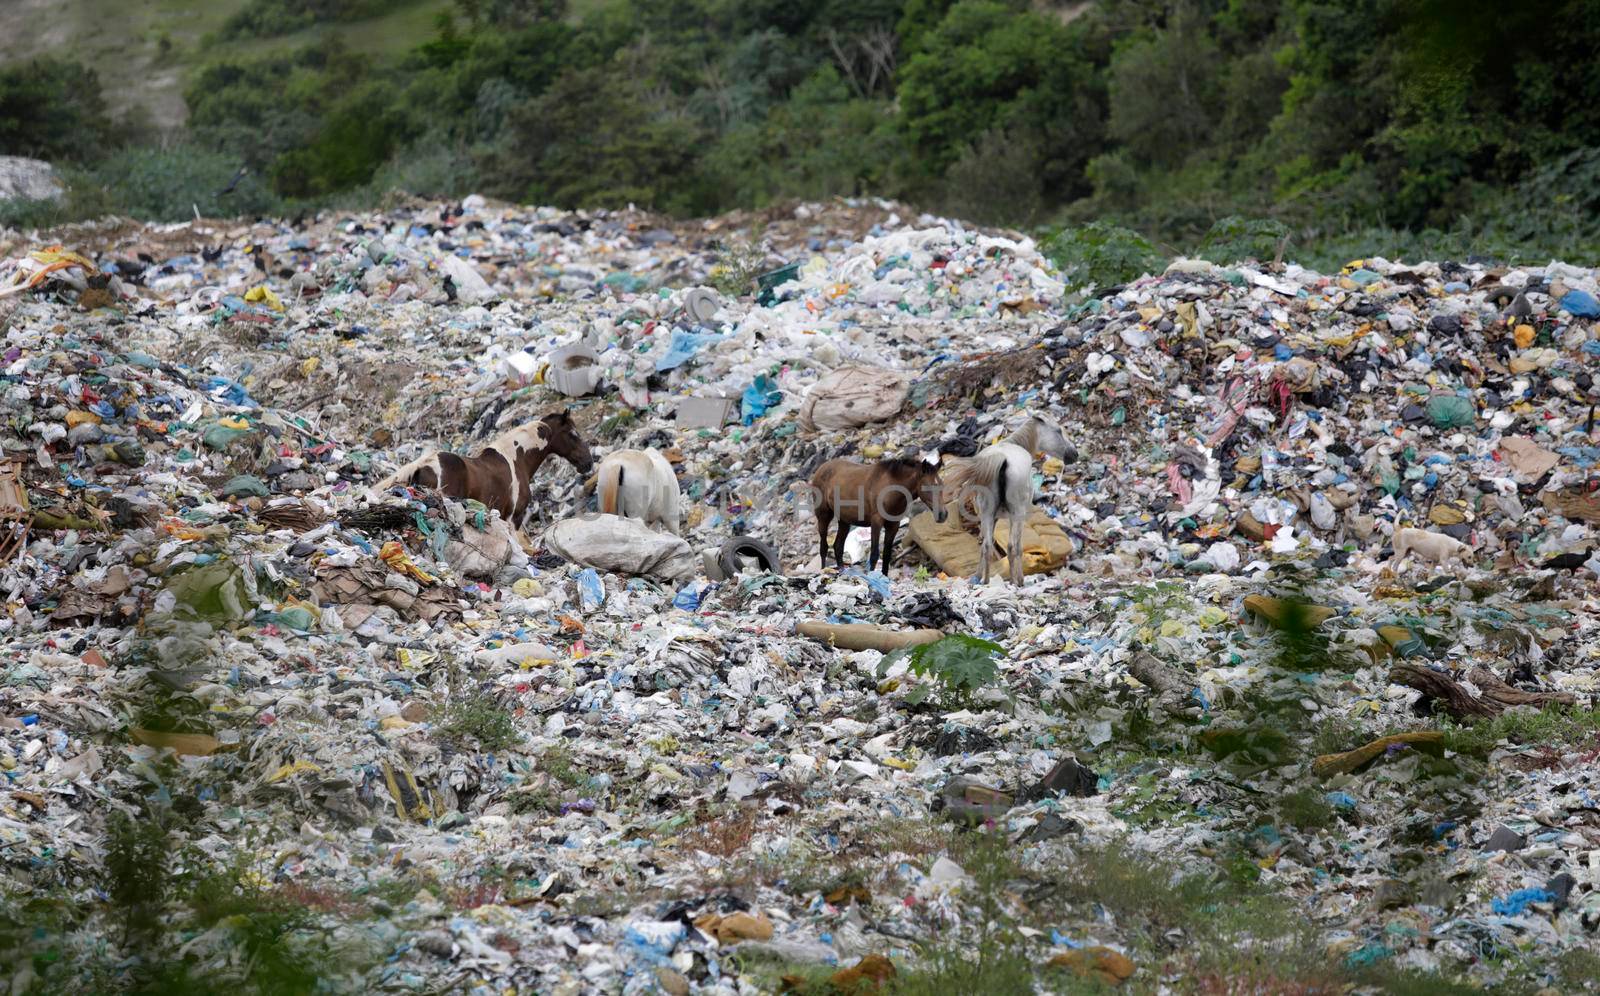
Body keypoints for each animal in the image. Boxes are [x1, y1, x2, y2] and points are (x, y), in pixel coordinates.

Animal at [806, 451, 940, 570]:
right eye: (927, 487)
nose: (942, 514)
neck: (892, 489)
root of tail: (821, 468)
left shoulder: (893, 525)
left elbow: (886, 555)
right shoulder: (876, 522)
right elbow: (874, 555)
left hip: (844, 520)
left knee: (838, 546)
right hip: (823, 516)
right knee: (824, 547)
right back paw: (824, 570)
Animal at [934, 416, 1075, 586]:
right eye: (1058, 431)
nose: (1074, 454)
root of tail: (1001, 459)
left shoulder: (993, 517)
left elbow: (985, 544)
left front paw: (978, 575)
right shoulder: (1017, 516)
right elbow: (1016, 547)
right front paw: (1018, 579)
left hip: (987, 513)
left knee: (987, 546)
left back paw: (986, 581)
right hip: (1017, 513)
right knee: (1012, 546)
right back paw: (1015, 581)